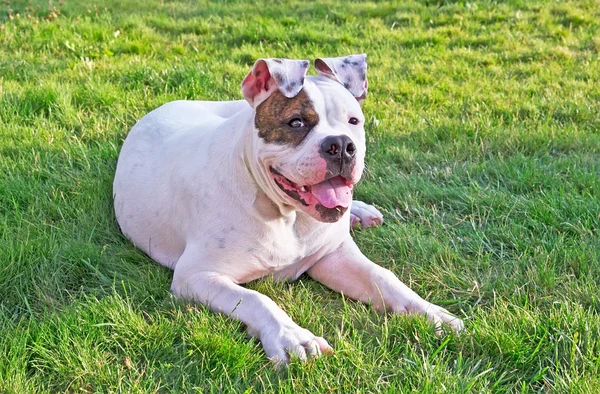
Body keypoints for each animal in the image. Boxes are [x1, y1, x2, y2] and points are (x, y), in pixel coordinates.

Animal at [113, 54, 464, 364]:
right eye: (296, 122)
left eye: (354, 121)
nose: (341, 145)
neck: (286, 214)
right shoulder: (196, 276)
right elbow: (257, 299)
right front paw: (293, 337)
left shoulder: (333, 256)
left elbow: (384, 277)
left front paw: (430, 313)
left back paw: (359, 211)